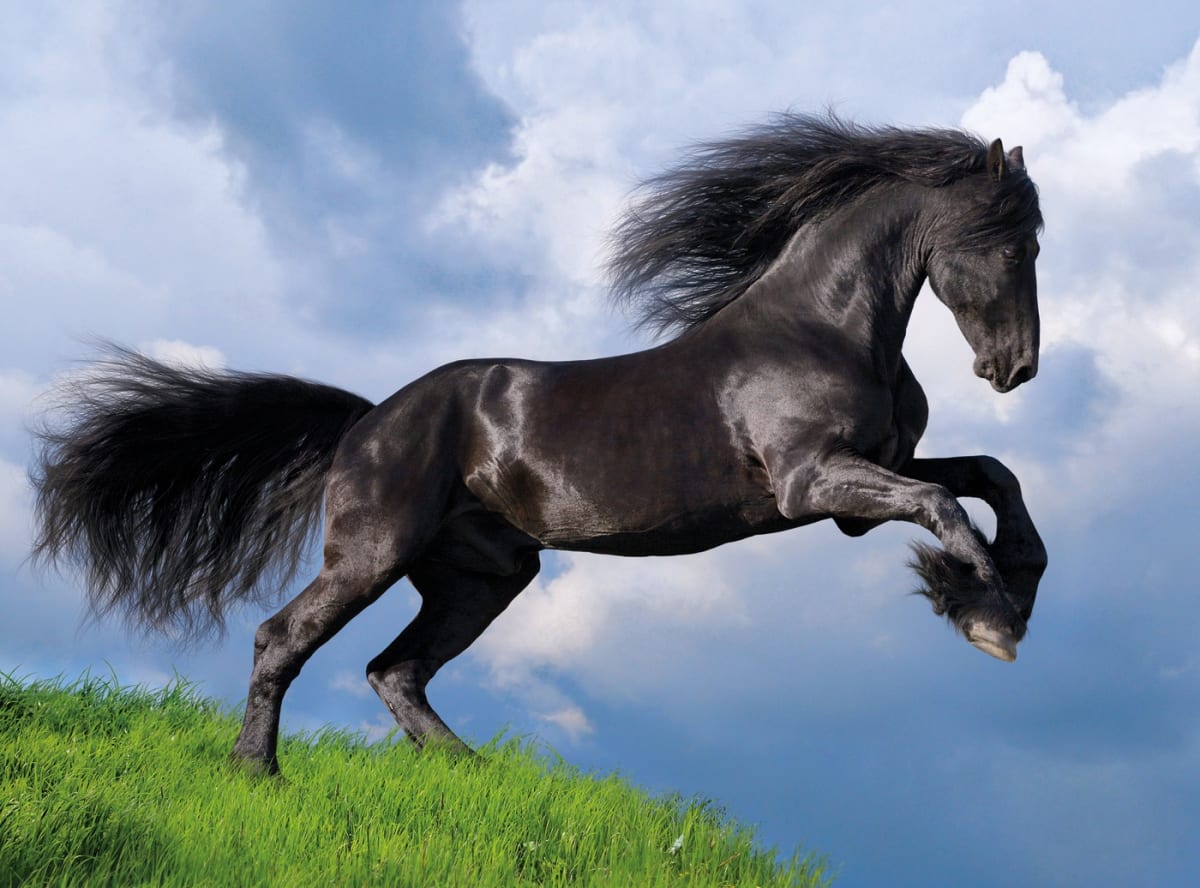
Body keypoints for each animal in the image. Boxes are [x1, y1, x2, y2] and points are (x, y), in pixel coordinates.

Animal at [32, 114, 1048, 776]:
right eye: (1012, 243)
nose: (1015, 369)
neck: (821, 330)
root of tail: (366, 422)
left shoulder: (863, 486)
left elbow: (990, 479)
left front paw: (1008, 594)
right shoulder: (814, 485)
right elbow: (946, 503)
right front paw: (988, 618)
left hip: (482, 576)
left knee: (395, 670)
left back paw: (475, 775)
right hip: (374, 552)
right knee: (286, 638)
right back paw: (256, 772)